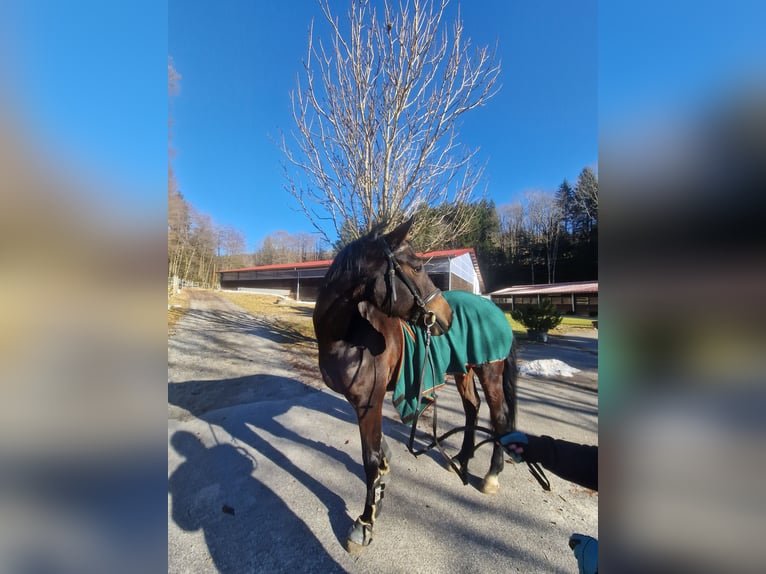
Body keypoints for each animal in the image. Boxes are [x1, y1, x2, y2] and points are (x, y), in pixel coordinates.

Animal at [313, 217, 518, 553]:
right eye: (418, 267)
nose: (446, 316)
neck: (347, 335)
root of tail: (495, 310)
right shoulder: (362, 404)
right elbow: (378, 455)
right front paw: (381, 490)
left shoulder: (369, 402)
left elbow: (370, 460)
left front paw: (364, 524)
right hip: (463, 371)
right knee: (472, 408)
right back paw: (461, 459)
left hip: (490, 370)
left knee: (499, 418)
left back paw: (491, 476)